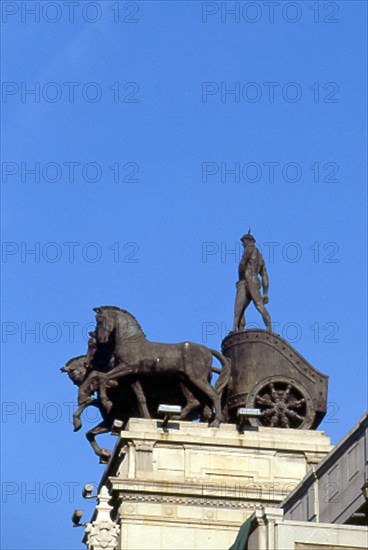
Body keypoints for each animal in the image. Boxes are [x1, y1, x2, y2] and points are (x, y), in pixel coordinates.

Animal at [86, 308, 230, 430]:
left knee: (213, 394)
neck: (129, 341)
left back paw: (216, 422)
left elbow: (102, 376)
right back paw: (175, 417)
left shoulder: (126, 367)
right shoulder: (132, 376)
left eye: (100, 320)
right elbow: (140, 397)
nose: (101, 338)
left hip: (197, 378)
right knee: (193, 401)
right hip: (184, 381)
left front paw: (105, 401)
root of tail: (208, 350)